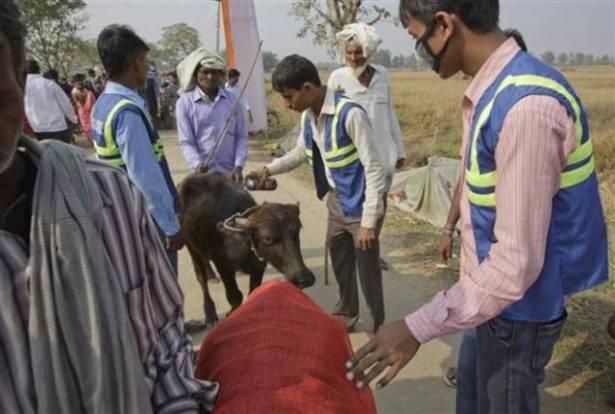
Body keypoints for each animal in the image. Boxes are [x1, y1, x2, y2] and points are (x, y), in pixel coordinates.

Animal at [177, 171, 312, 326]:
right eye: (268, 238)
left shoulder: (259, 267)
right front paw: (231, 313)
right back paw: (210, 313)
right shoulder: (223, 266)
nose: (304, 278)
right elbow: (235, 297)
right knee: (200, 277)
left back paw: (212, 276)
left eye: (297, 230)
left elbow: (254, 292)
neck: (244, 242)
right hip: (190, 245)